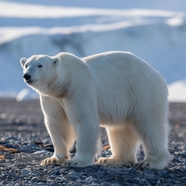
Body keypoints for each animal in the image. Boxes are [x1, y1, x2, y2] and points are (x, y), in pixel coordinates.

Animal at [20, 50, 170, 169]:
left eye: (40, 65)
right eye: (26, 65)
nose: (27, 75)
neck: (63, 83)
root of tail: (158, 75)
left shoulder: (79, 89)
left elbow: (84, 120)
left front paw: (76, 161)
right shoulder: (52, 98)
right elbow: (57, 122)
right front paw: (52, 159)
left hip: (143, 92)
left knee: (149, 125)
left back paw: (150, 162)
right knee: (120, 129)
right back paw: (112, 159)